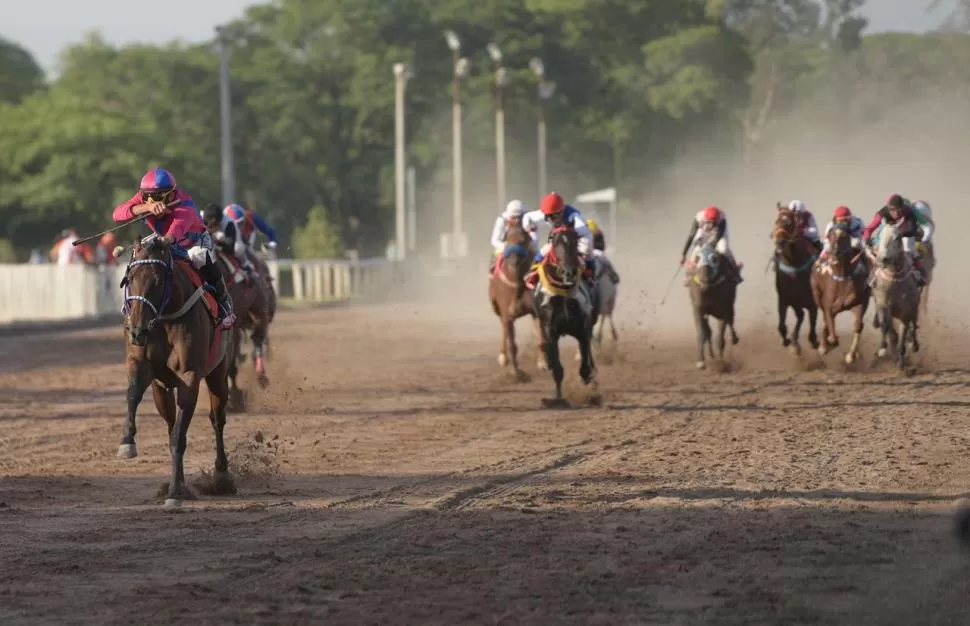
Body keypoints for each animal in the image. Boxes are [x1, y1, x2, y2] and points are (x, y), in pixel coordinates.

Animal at [117, 234, 234, 508]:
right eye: (130, 278)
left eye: (158, 281)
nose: (136, 330)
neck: (165, 318)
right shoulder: (142, 366)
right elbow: (133, 394)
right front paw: (127, 442)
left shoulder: (189, 377)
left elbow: (180, 437)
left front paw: (173, 493)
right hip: (162, 389)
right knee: (171, 425)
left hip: (218, 373)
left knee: (217, 419)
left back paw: (221, 475)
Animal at [772, 204, 816, 354]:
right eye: (776, 222)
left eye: (789, 224)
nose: (779, 242)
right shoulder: (784, 298)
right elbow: (781, 325)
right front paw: (787, 340)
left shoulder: (812, 301)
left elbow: (813, 322)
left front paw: (814, 340)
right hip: (795, 302)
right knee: (800, 315)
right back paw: (794, 341)